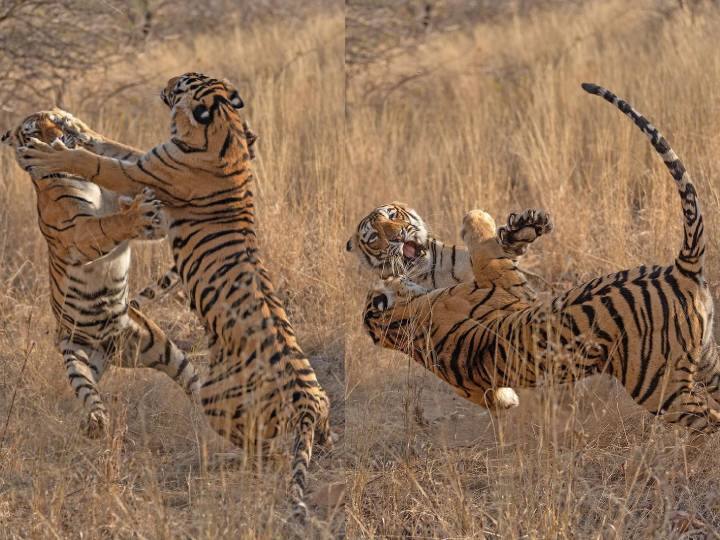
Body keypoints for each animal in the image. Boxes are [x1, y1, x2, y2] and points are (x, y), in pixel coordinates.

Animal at [1, 109, 202, 438]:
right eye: (33, 132)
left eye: (53, 123)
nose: (59, 138)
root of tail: (110, 351)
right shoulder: (78, 233)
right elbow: (109, 223)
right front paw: (137, 209)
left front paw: (81, 128)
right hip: (76, 357)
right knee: (89, 392)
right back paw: (95, 421)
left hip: (160, 347)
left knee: (192, 380)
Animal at [347, 204, 553, 410]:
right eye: (373, 237)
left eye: (392, 215)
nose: (397, 237)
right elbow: (486, 253)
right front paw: (478, 216)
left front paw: (524, 226)